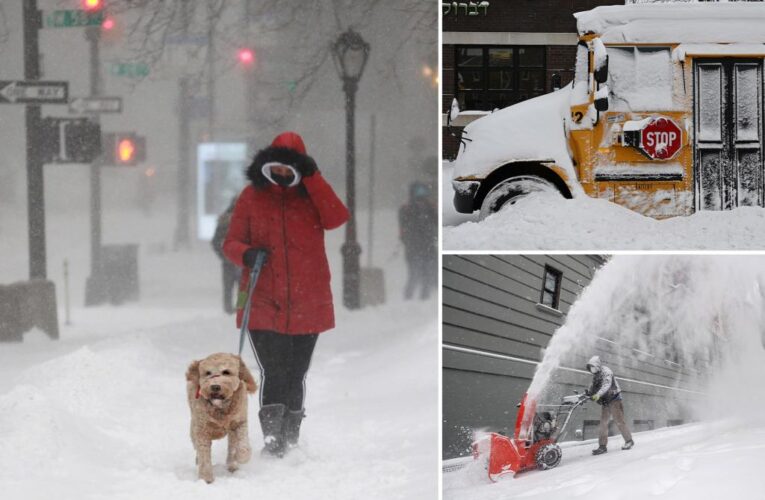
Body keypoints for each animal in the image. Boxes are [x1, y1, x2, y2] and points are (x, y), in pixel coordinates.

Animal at [186, 354, 258, 482]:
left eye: (226, 372)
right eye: (207, 373)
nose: (215, 386)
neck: (220, 407)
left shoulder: (239, 421)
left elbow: (243, 443)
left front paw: (241, 457)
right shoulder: (201, 429)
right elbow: (204, 454)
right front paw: (206, 478)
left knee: (232, 445)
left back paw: (232, 464)